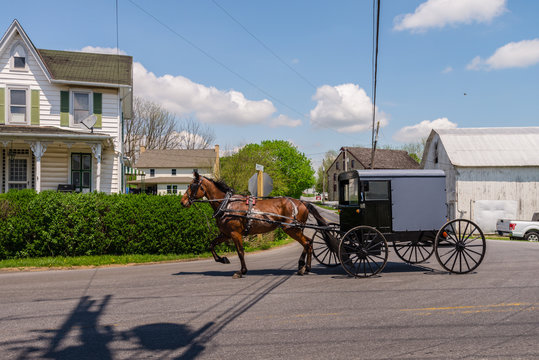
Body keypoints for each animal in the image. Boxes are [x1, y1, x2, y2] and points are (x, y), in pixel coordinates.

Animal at [180, 172, 330, 278]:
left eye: (192, 186)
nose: (183, 202)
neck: (227, 204)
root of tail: (302, 202)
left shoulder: (235, 233)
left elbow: (240, 252)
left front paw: (241, 271)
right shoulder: (226, 234)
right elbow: (211, 244)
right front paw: (222, 259)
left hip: (291, 229)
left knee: (307, 243)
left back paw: (306, 268)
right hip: (296, 229)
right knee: (308, 242)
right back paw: (302, 266)